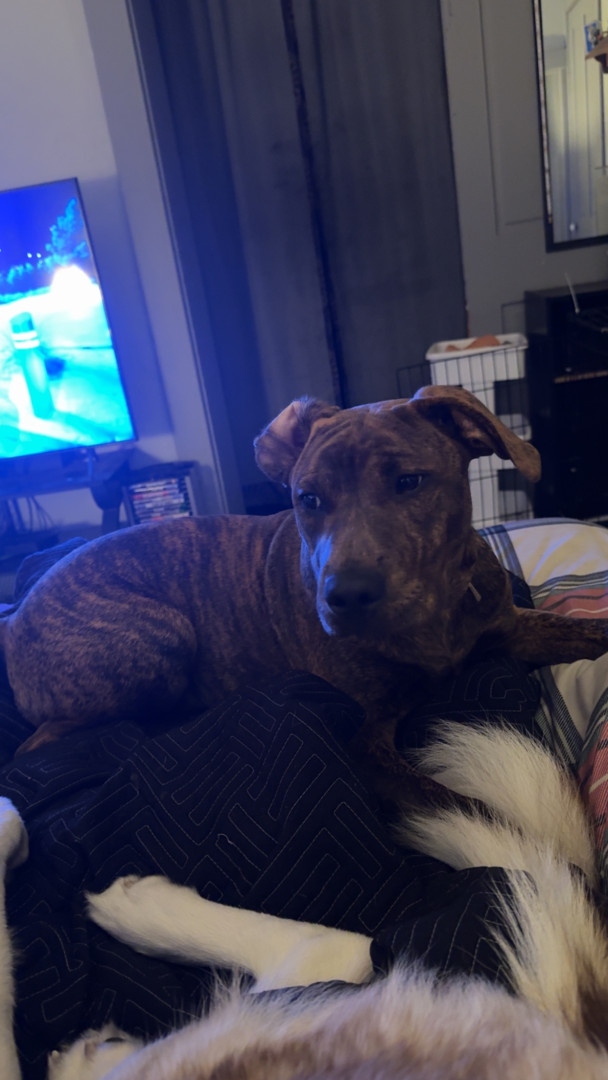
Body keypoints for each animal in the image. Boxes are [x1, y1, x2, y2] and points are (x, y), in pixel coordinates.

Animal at [3, 386, 608, 777]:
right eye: (307, 499)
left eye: (409, 482)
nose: (346, 597)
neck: (435, 618)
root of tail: (15, 621)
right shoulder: (369, 741)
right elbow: (457, 803)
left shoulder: (511, 627)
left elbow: (587, 632)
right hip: (161, 634)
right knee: (41, 742)